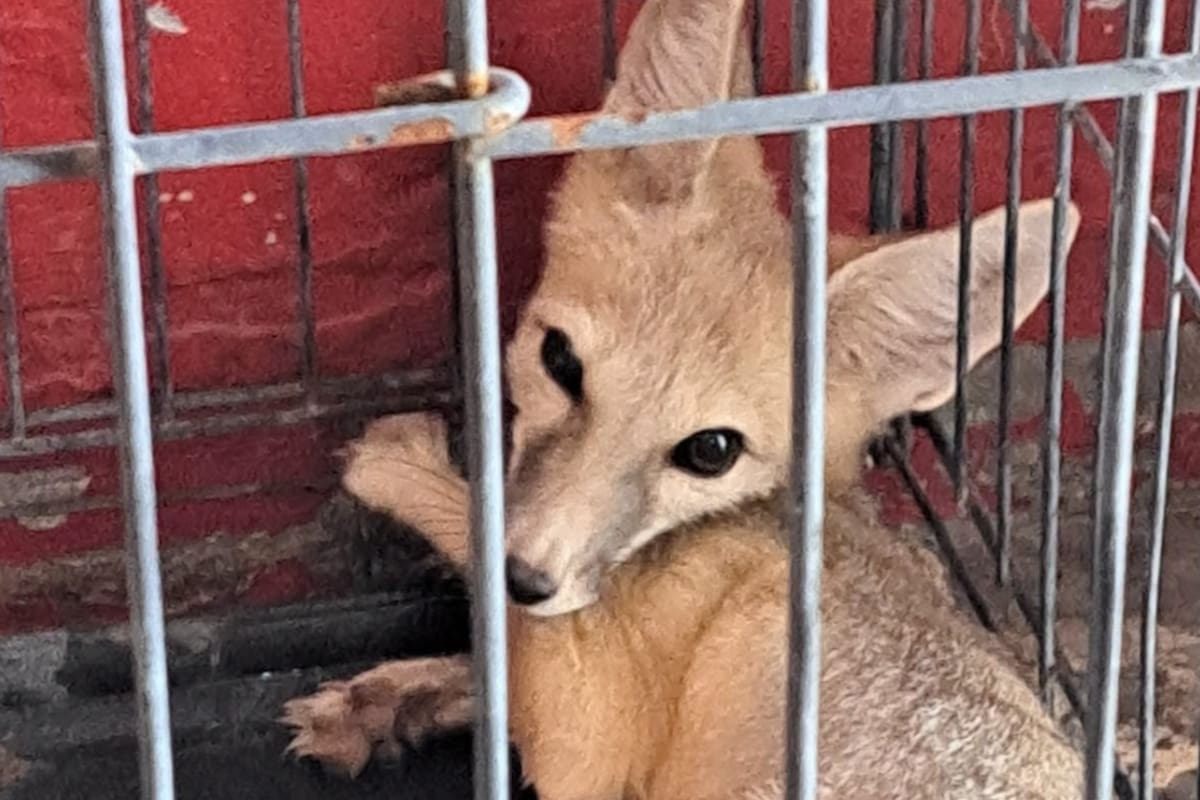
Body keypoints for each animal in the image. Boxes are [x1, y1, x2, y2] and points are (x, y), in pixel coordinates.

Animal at [281, 0, 1088, 797]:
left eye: (711, 451)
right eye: (560, 361)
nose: (525, 577)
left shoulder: (586, 730)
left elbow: (490, 573)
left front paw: (400, 465)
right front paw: (397, 698)